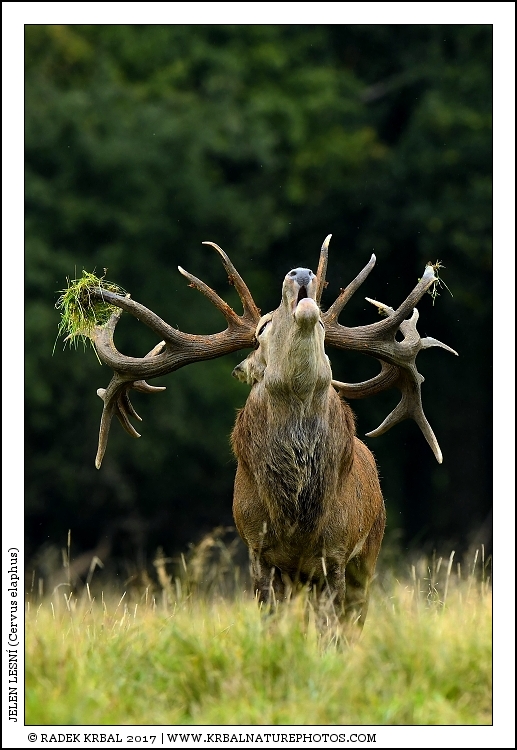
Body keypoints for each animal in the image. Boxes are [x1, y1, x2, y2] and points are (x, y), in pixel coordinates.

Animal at [80, 235, 457, 626]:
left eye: (324, 328)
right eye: (262, 330)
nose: (302, 272)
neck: (297, 521)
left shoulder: (337, 551)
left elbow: (331, 627)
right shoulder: (257, 548)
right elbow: (272, 621)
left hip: (371, 547)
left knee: (353, 618)